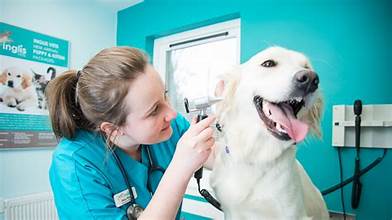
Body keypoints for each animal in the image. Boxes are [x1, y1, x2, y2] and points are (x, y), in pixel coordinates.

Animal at [210, 45, 330, 219]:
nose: (310, 79)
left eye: (307, 67)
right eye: (268, 63)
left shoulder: (292, 213)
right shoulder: (231, 211)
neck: (256, 155)